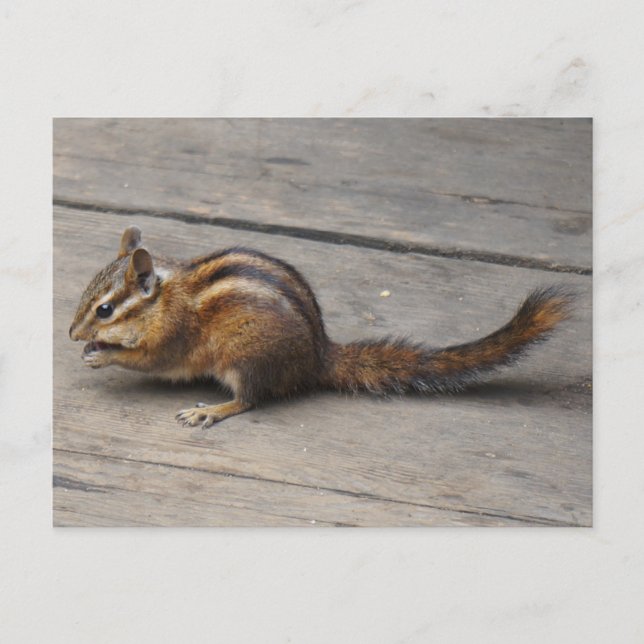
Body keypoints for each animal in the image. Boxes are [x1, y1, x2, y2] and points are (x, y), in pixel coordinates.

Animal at [69, 226, 573, 428]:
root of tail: (317, 357)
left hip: (246, 359)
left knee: (251, 400)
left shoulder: (171, 338)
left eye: (105, 310)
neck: (165, 298)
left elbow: (150, 359)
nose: (72, 334)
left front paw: (103, 354)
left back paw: (211, 410)